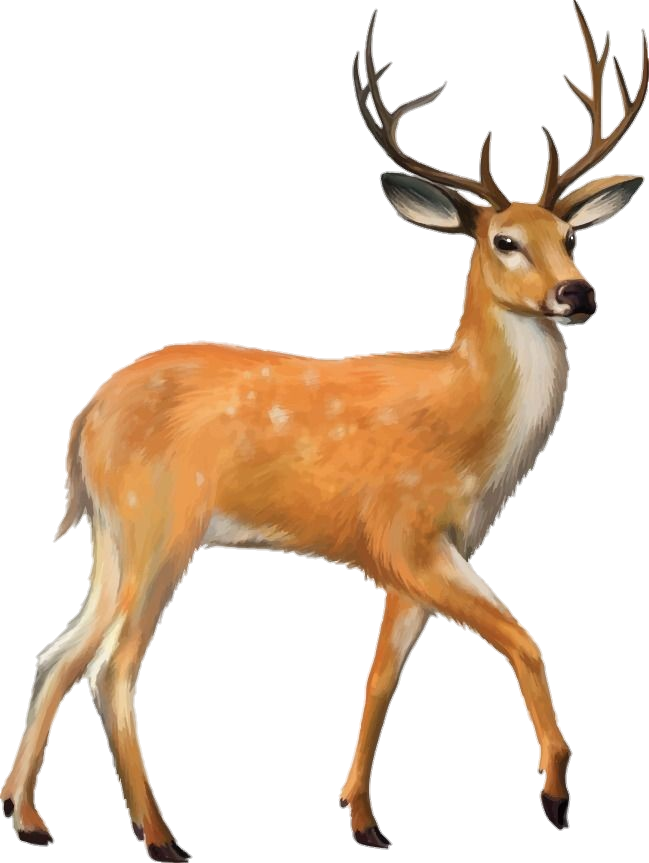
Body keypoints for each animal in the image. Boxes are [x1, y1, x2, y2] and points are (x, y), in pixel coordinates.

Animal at [2, 3, 647, 858]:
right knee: (113, 665)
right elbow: (523, 639)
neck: (470, 428)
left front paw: (363, 817)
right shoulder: (402, 534)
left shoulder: (431, 552)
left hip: (112, 532)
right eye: (504, 241)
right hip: (160, 523)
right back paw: (161, 835)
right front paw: (552, 793)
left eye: (570, 239)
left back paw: (28, 815)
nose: (577, 294)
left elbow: (380, 675)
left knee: (57, 652)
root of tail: (81, 423)